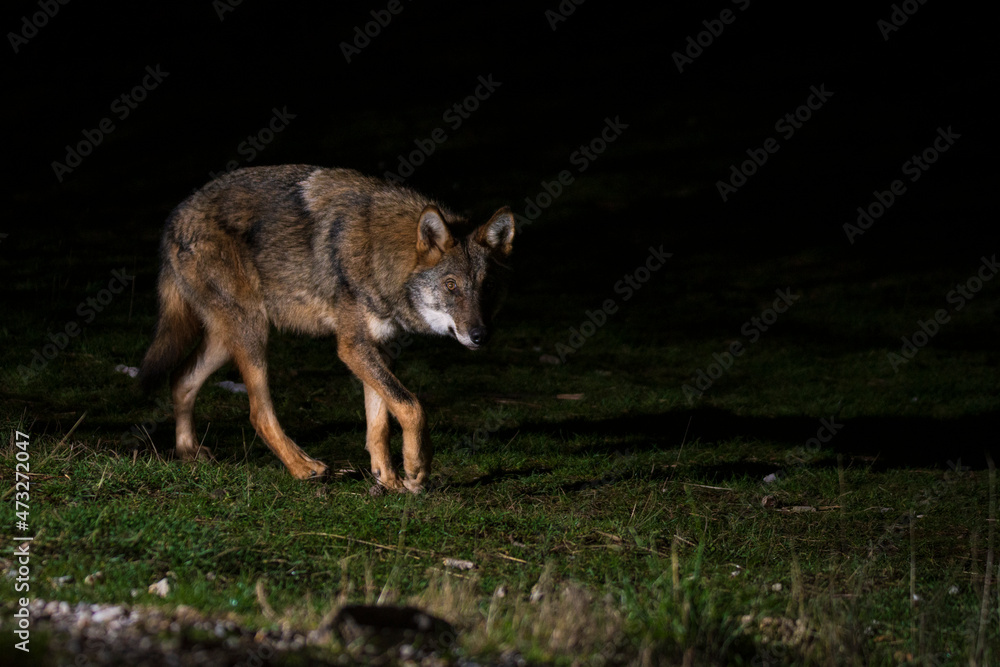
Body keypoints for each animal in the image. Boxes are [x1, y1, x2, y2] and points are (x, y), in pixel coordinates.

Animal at [138, 165, 514, 493]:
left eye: (489, 286)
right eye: (451, 286)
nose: (480, 336)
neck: (380, 252)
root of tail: (174, 218)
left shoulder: (380, 348)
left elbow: (379, 423)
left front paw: (388, 480)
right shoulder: (352, 347)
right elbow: (412, 406)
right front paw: (417, 466)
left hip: (227, 339)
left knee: (181, 380)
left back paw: (189, 453)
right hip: (252, 333)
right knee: (258, 413)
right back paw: (303, 467)